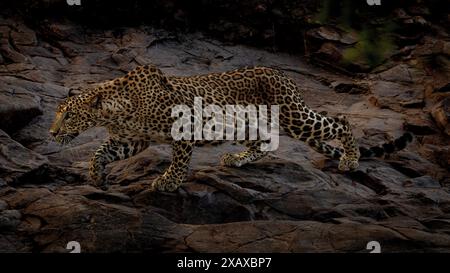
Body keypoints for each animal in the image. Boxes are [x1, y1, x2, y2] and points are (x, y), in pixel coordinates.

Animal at [49, 64, 412, 191]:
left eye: (68, 115)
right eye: (59, 115)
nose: (51, 133)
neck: (117, 110)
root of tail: (281, 73)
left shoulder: (184, 124)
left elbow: (179, 160)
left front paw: (169, 182)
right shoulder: (130, 139)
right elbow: (99, 152)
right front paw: (97, 176)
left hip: (295, 116)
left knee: (340, 121)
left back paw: (351, 159)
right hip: (248, 123)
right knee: (263, 143)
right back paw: (237, 159)